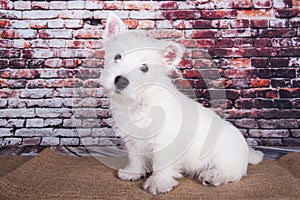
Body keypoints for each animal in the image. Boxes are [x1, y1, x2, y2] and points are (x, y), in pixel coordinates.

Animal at [100, 13, 262, 195]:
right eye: (117, 57)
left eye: (144, 68)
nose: (120, 81)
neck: (141, 101)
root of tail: (247, 150)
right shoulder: (132, 139)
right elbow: (135, 157)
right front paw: (132, 172)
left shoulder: (164, 142)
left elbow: (161, 164)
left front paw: (159, 183)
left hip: (225, 157)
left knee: (232, 173)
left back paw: (213, 176)